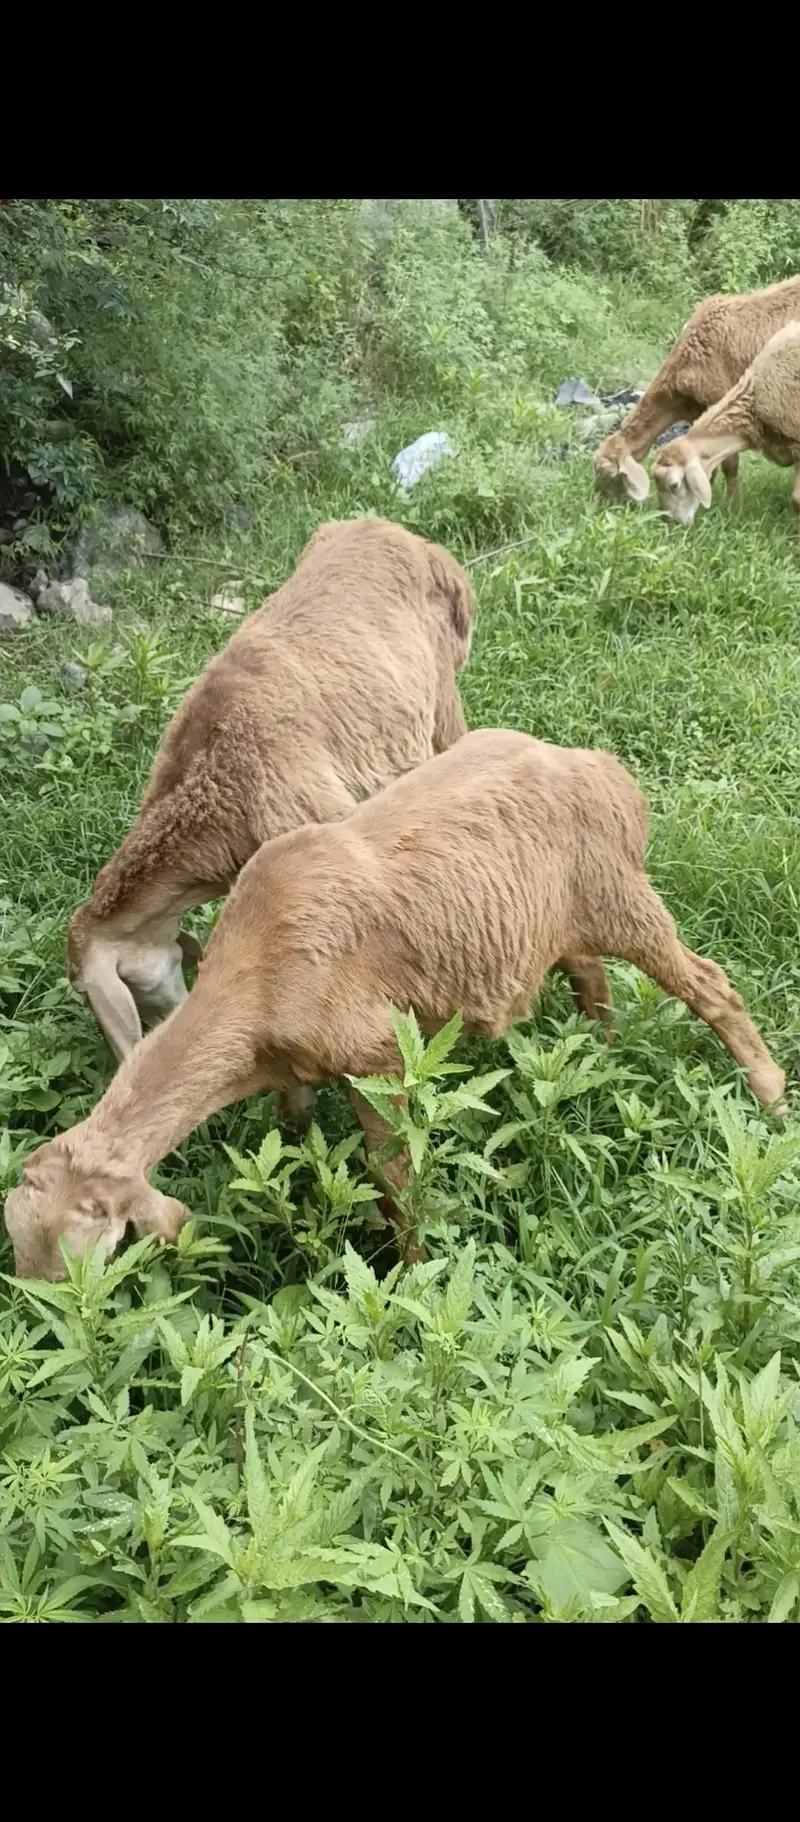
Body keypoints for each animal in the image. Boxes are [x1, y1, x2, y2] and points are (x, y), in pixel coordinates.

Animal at [5, 727, 785, 1282]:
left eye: (81, 1259)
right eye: (17, 1244)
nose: (57, 1327)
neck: (255, 973)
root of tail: (600, 768)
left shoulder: (377, 1056)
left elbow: (392, 1180)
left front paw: (412, 1275)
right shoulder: (295, 1064)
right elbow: (294, 1127)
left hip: (620, 895)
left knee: (710, 985)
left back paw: (770, 1097)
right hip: (551, 919)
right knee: (591, 979)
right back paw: (599, 1062)